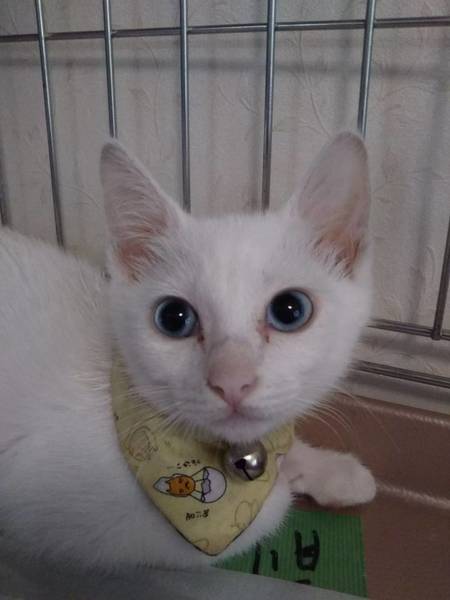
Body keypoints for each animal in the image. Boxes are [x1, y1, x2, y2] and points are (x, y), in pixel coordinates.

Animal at [0, 132, 375, 572]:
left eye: (290, 310)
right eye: (173, 317)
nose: (231, 381)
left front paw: (329, 470)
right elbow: (263, 513)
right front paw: (288, 477)